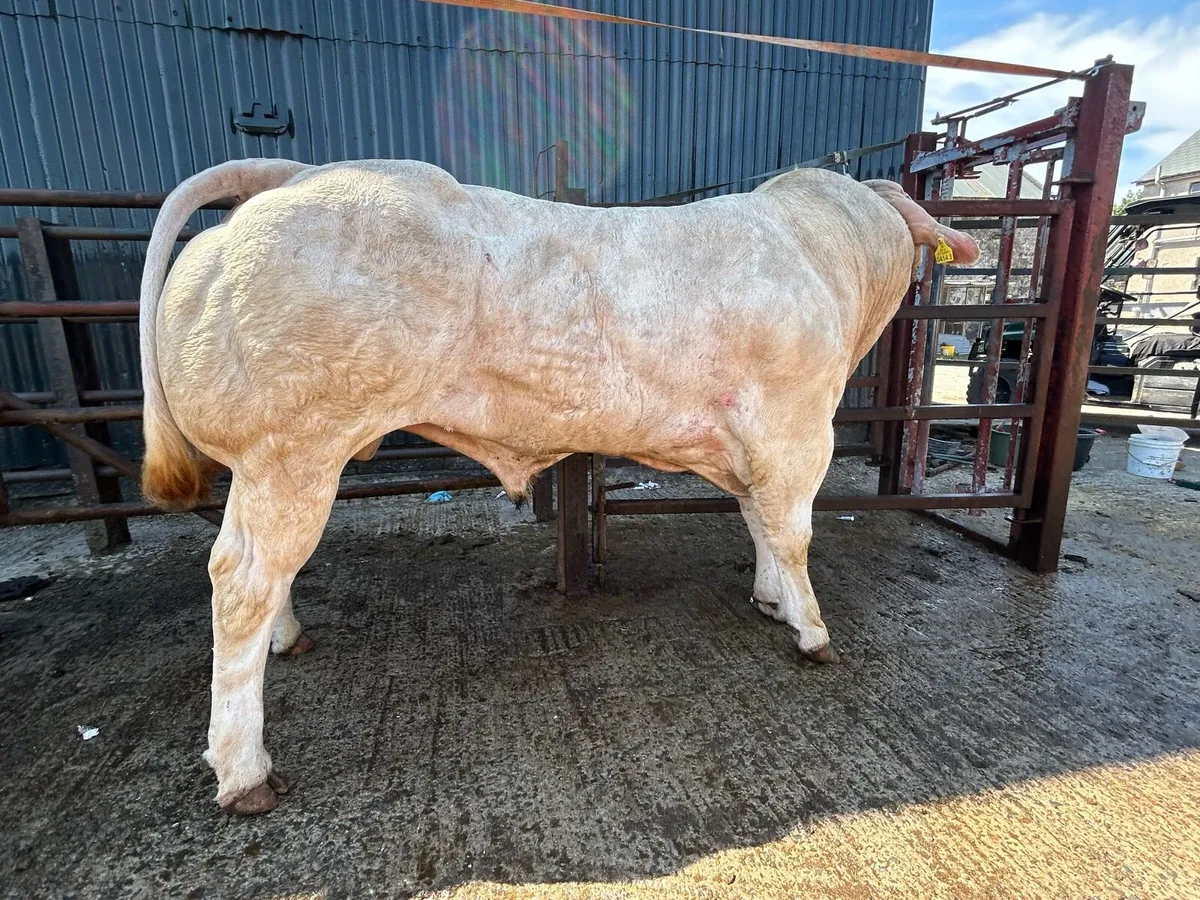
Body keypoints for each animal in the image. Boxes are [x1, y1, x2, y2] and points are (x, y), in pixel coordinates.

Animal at [139, 158, 979, 814]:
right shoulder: (797, 421)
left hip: (273, 462)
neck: (823, 255)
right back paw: (245, 770)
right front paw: (811, 629)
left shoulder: (753, 436)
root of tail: (298, 176)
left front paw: (770, 598)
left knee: (260, 575)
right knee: (241, 580)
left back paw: (286, 640)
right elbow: (794, 529)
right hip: (293, 448)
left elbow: (757, 517)